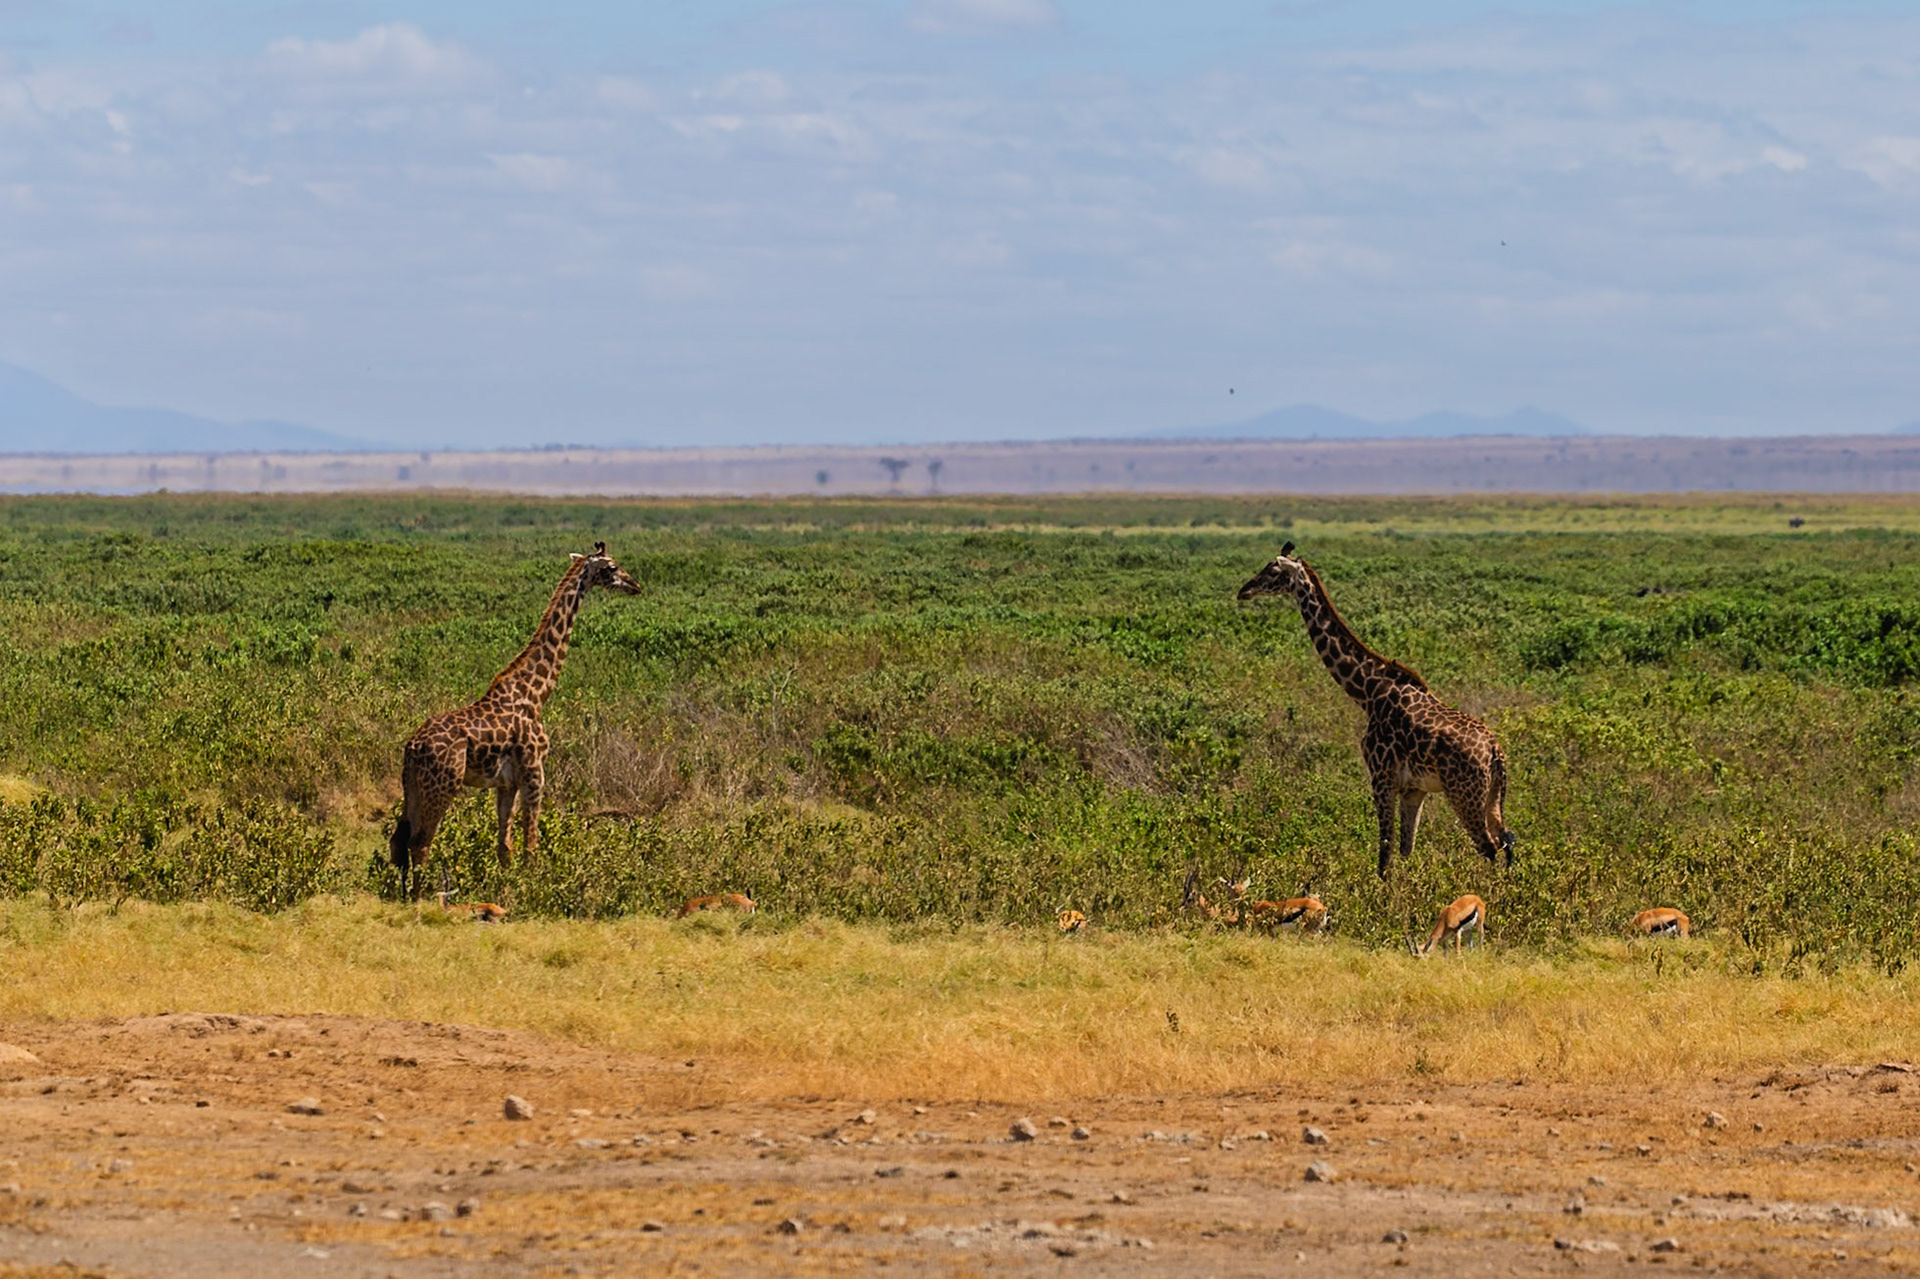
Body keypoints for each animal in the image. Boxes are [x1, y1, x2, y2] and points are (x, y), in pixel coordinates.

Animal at [388, 542, 641, 900]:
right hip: (443, 785)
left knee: (399, 838)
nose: (636, 586)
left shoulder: (505, 783)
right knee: (420, 842)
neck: (536, 693)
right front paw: (534, 890)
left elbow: (504, 846)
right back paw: (420, 898)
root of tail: (412, 747)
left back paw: (400, 893)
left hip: (411, 783)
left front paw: (509, 889)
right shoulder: (535, 771)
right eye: (613, 568)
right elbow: (530, 843)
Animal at [1238, 542, 1514, 877]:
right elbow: (1405, 849)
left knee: (1488, 847)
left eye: (1273, 570)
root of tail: (1495, 752)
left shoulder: (1381, 776)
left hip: (1464, 794)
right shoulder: (1413, 789)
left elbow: (1384, 851)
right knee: (1505, 839)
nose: (1244, 590)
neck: (1368, 693)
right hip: (1492, 795)